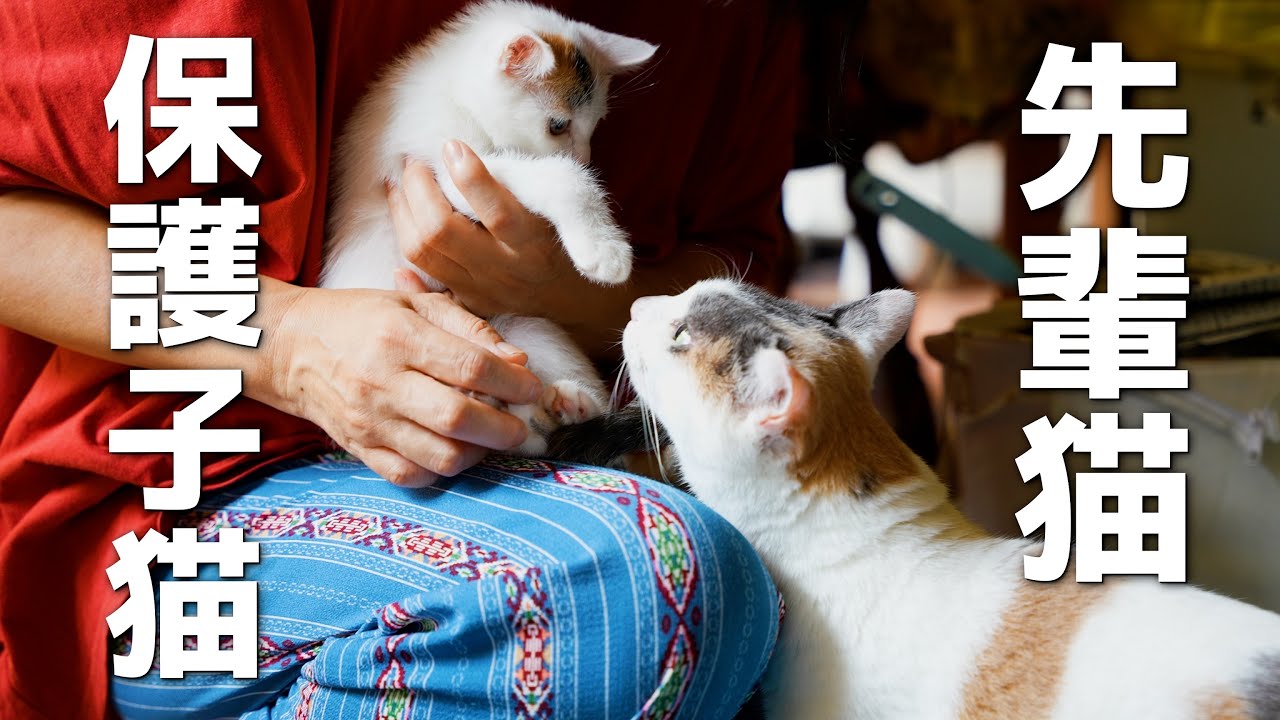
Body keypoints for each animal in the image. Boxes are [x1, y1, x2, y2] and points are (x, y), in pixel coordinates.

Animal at [320, 0, 660, 450]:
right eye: (558, 126)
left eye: (596, 124)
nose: (585, 159)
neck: (454, 90)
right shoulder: (447, 168)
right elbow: (558, 176)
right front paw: (605, 250)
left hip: (529, 329)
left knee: (530, 432)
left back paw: (564, 404)